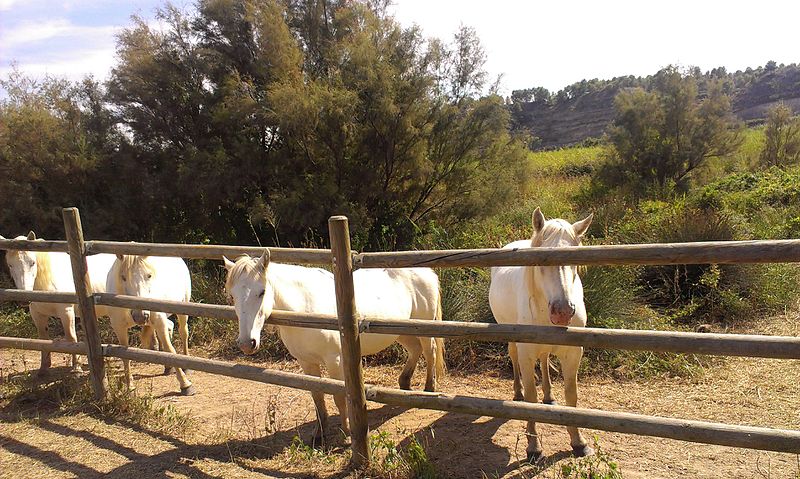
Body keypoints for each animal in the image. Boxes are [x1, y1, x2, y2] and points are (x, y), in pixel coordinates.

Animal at [1, 232, 115, 376]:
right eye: (10, 265)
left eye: (32, 263)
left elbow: (71, 338)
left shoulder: (66, 312)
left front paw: (76, 368)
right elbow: (43, 340)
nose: (24, 298)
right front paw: (43, 368)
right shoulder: (37, 315)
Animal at [107, 256, 195, 396]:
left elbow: (171, 350)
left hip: (183, 307)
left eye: (149, 275)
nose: (140, 316)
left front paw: (185, 384)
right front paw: (130, 388)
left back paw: (186, 364)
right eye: (123, 277)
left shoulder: (159, 320)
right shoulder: (119, 327)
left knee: (183, 332)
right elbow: (125, 356)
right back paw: (168, 367)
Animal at [223, 253, 444, 440]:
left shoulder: (335, 361)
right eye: (233, 296)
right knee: (415, 350)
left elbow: (338, 396)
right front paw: (319, 434)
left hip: (423, 328)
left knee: (429, 351)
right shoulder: (306, 362)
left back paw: (428, 389)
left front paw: (346, 433)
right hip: (400, 331)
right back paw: (404, 384)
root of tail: (427, 272)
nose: (247, 343)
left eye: (262, 292)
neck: (307, 308)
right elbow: (317, 395)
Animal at [488, 208, 592, 464]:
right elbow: (531, 400)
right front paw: (533, 447)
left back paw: (549, 395)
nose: (563, 311)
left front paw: (579, 442)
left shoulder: (573, 352)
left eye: (577, 257)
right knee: (514, 358)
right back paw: (517, 393)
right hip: (512, 339)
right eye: (542, 260)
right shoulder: (526, 352)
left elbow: (572, 396)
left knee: (544, 360)